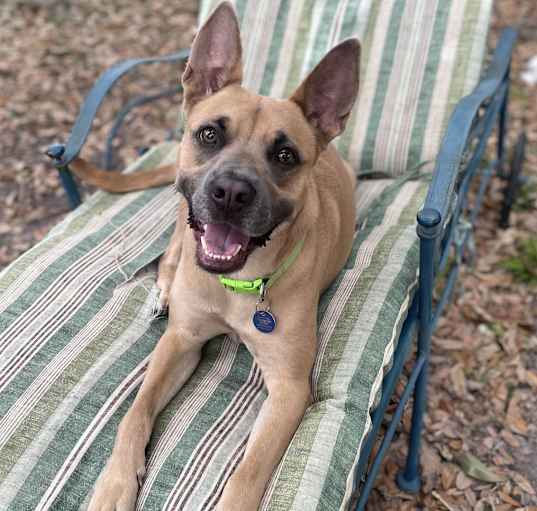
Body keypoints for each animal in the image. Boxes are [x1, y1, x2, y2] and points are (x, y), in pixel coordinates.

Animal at [79, 2, 360, 510]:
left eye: (285, 155)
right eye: (209, 134)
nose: (230, 192)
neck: (238, 282)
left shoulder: (288, 389)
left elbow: (247, 474)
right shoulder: (180, 342)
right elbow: (134, 413)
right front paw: (114, 484)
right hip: (180, 214)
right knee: (171, 250)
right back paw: (165, 287)